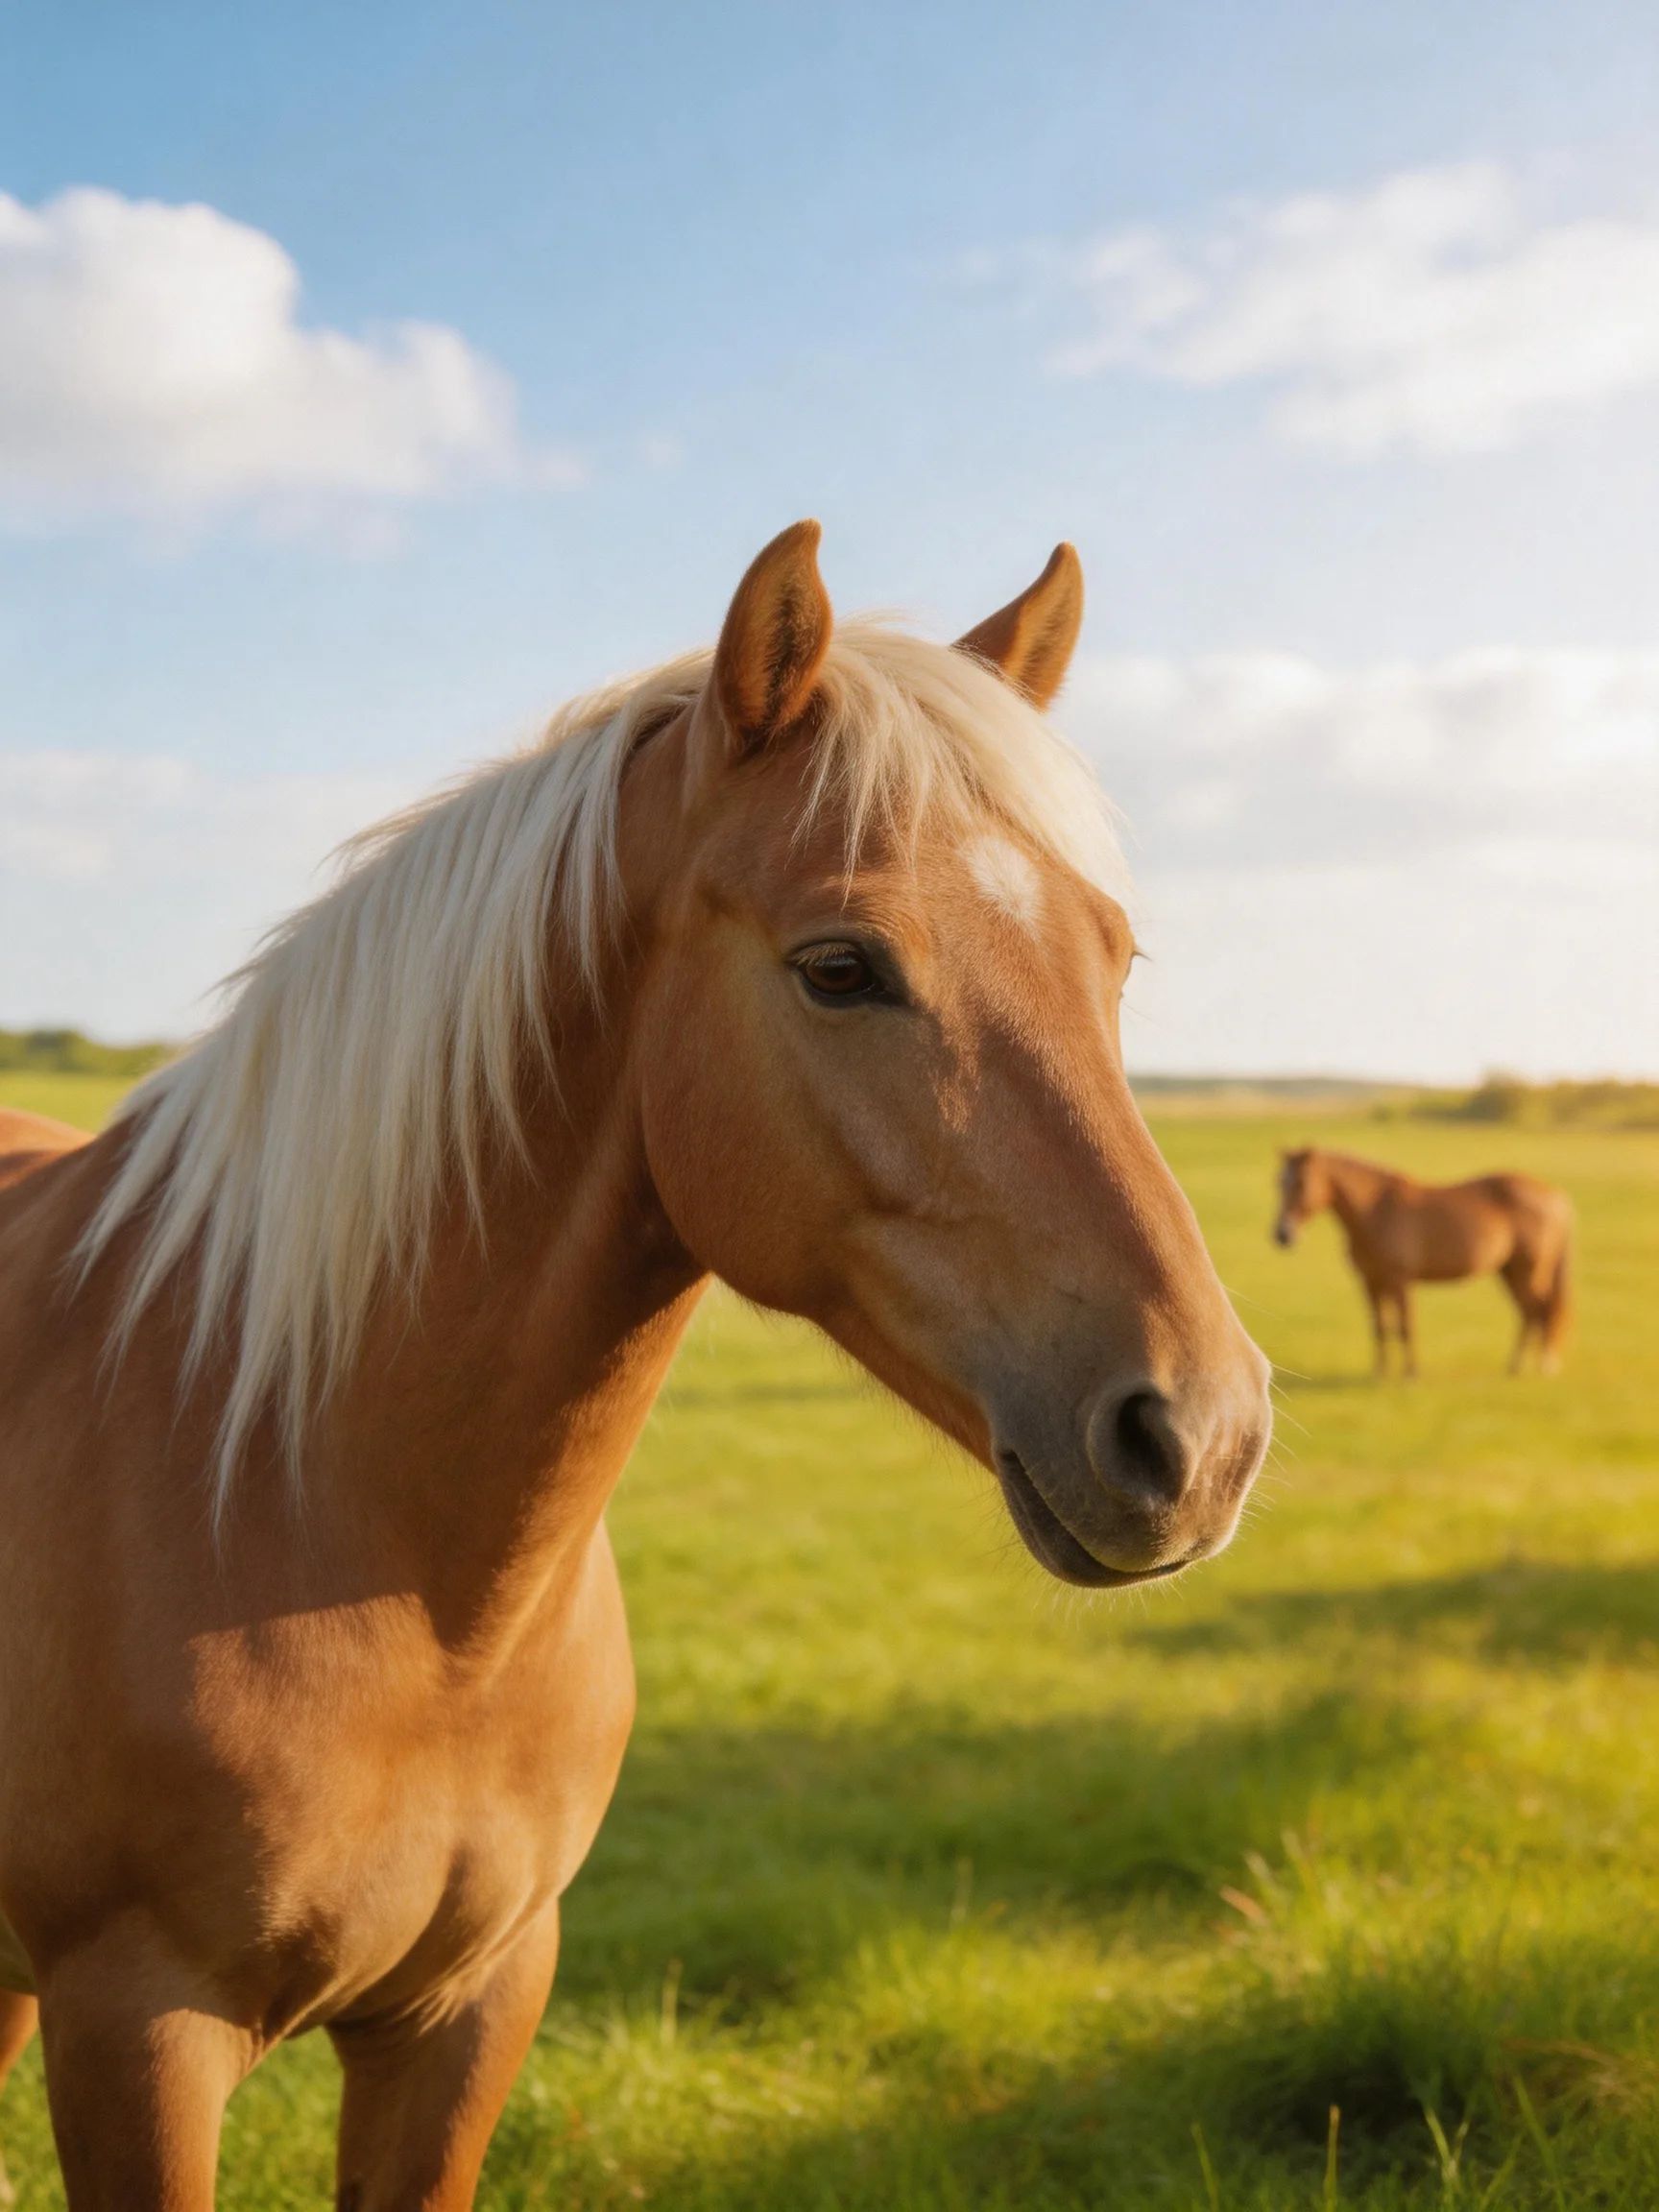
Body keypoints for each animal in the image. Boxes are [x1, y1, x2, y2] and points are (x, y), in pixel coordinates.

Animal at [1273, 1146, 1573, 1377]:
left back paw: (1540, 1365)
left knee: (1540, 1310)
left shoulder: (1400, 1282)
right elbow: (1380, 1328)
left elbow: (1405, 1327)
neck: (1376, 1211)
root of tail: (1555, 1197)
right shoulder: (1371, 1283)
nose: (1282, 1234)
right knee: (1529, 1313)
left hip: (1528, 1272)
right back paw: (1516, 1366)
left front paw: (1410, 1374)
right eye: (1279, 1183)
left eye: (1301, 1183)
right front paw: (1380, 1373)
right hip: (1509, 1272)